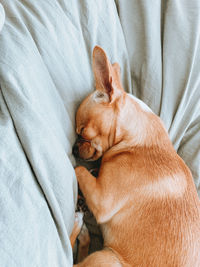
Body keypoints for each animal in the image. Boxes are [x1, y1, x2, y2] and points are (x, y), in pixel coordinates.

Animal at [70, 46, 200, 267]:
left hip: (106, 258)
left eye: (83, 132)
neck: (133, 138)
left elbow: (79, 169)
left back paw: (79, 228)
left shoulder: (102, 200)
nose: (73, 148)